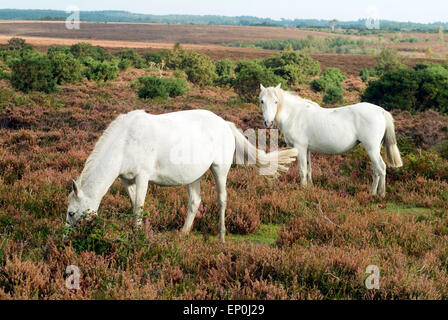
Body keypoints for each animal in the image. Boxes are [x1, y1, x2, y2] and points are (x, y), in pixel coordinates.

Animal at [66, 109, 298, 241]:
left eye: (71, 213)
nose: (66, 239)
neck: (125, 141)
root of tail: (225, 124)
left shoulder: (142, 178)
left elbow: (139, 207)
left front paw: (138, 237)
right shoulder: (127, 180)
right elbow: (134, 206)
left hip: (220, 169)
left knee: (222, 200)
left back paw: (221, 236)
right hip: (193, 176)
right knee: (195, 201)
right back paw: (183, 233)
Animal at [260, 83, 402, 198]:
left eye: (276, 101)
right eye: (262, 101)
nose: (268, 123)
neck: (295, 115)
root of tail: (381, 111)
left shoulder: (300, 147)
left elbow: (302, 170)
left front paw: (303, 189)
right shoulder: (307, 149)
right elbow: (309, 168)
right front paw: (310, 187)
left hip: (372, 149)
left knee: (381, 168)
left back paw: (380, 195)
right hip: (374, 150)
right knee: (376, 170)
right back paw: (372, 193)